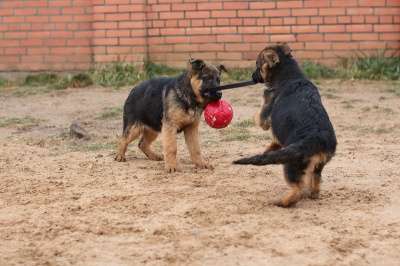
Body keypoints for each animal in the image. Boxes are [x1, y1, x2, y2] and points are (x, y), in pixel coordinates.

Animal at [234, 44, 338, 208]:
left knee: (298, 190)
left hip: (291, 165)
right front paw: (269, 150)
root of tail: (317, 139)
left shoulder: (265, 114)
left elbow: (259, 118)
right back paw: (312, 194)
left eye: (257, 65)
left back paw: (282, 202)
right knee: (315, 182)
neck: (290, 75)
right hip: (318, 165)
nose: (252, 76)